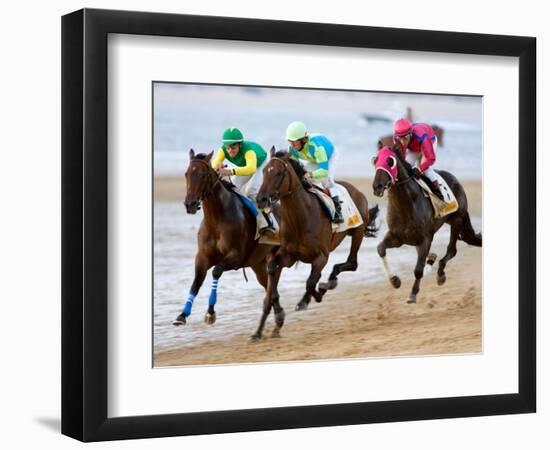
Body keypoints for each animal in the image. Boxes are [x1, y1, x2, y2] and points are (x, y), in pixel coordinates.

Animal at [174, 149, 280, 328]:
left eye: (202, 175)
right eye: (187, 174)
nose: (190, 204)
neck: (216, 220)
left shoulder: (236, 256)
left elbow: (216, 271)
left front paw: (210, 312)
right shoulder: (202, 256)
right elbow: (196, 281)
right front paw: (182, 314)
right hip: (258, 263)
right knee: (268, 285)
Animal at [254, 149, 380, 340]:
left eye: (279, 173)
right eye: (263, 171)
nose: (261, 199)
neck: (301, 218)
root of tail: (356, 190)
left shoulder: (321, 256)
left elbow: (310, 281)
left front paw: (307, 300)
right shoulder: (289, 256)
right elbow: (274, 268)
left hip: (357, 231)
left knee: (352, 263)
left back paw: (328, 283)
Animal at [374, 146, 480, 304]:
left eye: (390, 161)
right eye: (375, 160)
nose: (377, 186)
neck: (406, 204)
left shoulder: (426, 239)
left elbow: (418, 270)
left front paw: (412, 294)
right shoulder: (397, 237)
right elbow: (381, 249)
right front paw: (395, 280)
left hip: (456, 220)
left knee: (451, 250)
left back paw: (440, 274)